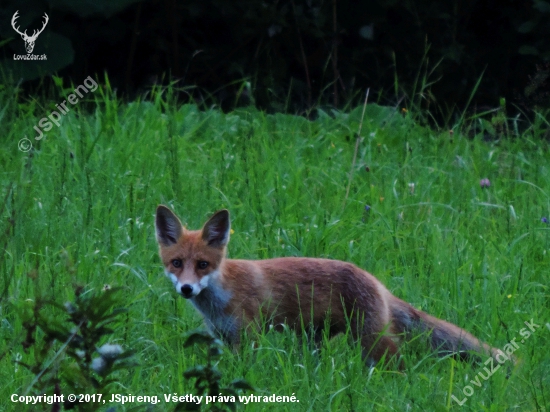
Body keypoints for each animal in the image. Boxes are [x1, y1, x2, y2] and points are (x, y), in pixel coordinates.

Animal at [154, 204, 504, 366]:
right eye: (176, 263)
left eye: (202, 265)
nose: (186, 289)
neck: (221, 296)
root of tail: (378, 283)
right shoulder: (224, 338)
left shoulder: (249, 338)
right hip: (318, 339)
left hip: (371, 341)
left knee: (399, 364)